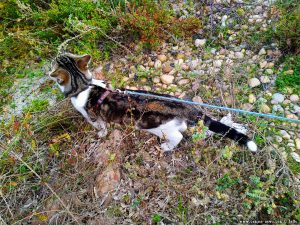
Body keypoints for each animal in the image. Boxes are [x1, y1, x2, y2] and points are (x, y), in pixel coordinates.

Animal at [49, 53, 258, 152]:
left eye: (54, 62)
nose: (52, 59)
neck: (84, 85)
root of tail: (189, 108)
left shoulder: (91, 116)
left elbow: (99, 126)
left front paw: (101, 134)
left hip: (160, 128)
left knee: (178, 137)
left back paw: (166, 147)